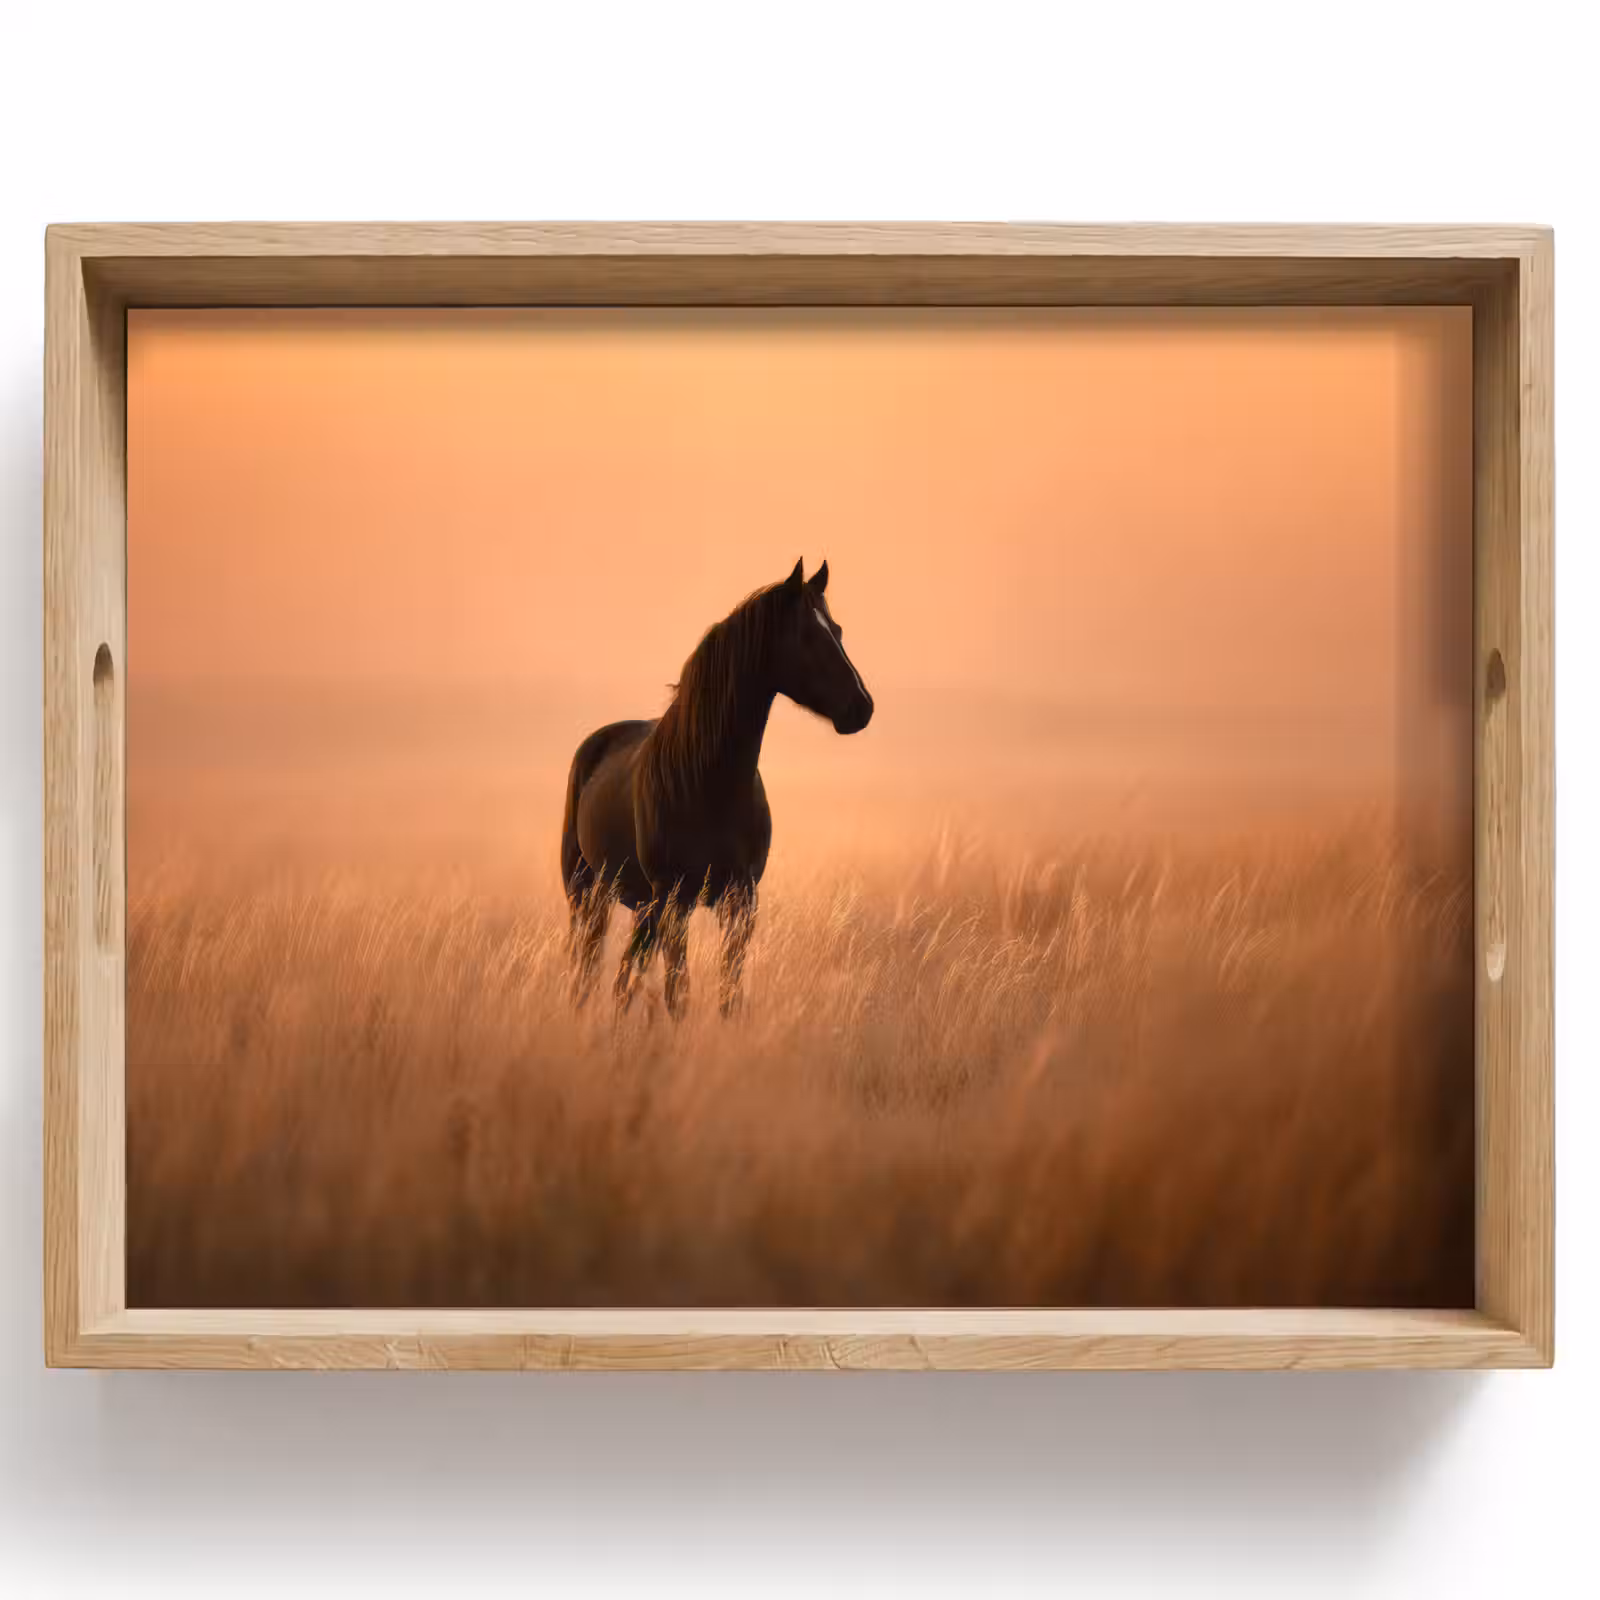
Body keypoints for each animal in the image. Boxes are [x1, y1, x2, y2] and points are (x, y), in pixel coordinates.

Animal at [560, 559, 873, 1017]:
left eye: (837, 629)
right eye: (807, 636)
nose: (862, 707)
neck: (709, 782)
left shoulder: (740, 900)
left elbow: (729, 994)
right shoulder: (675, 901)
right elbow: (678, 994)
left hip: (641, 906)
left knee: (622, 981)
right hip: (589, 894)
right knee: (589, 972)